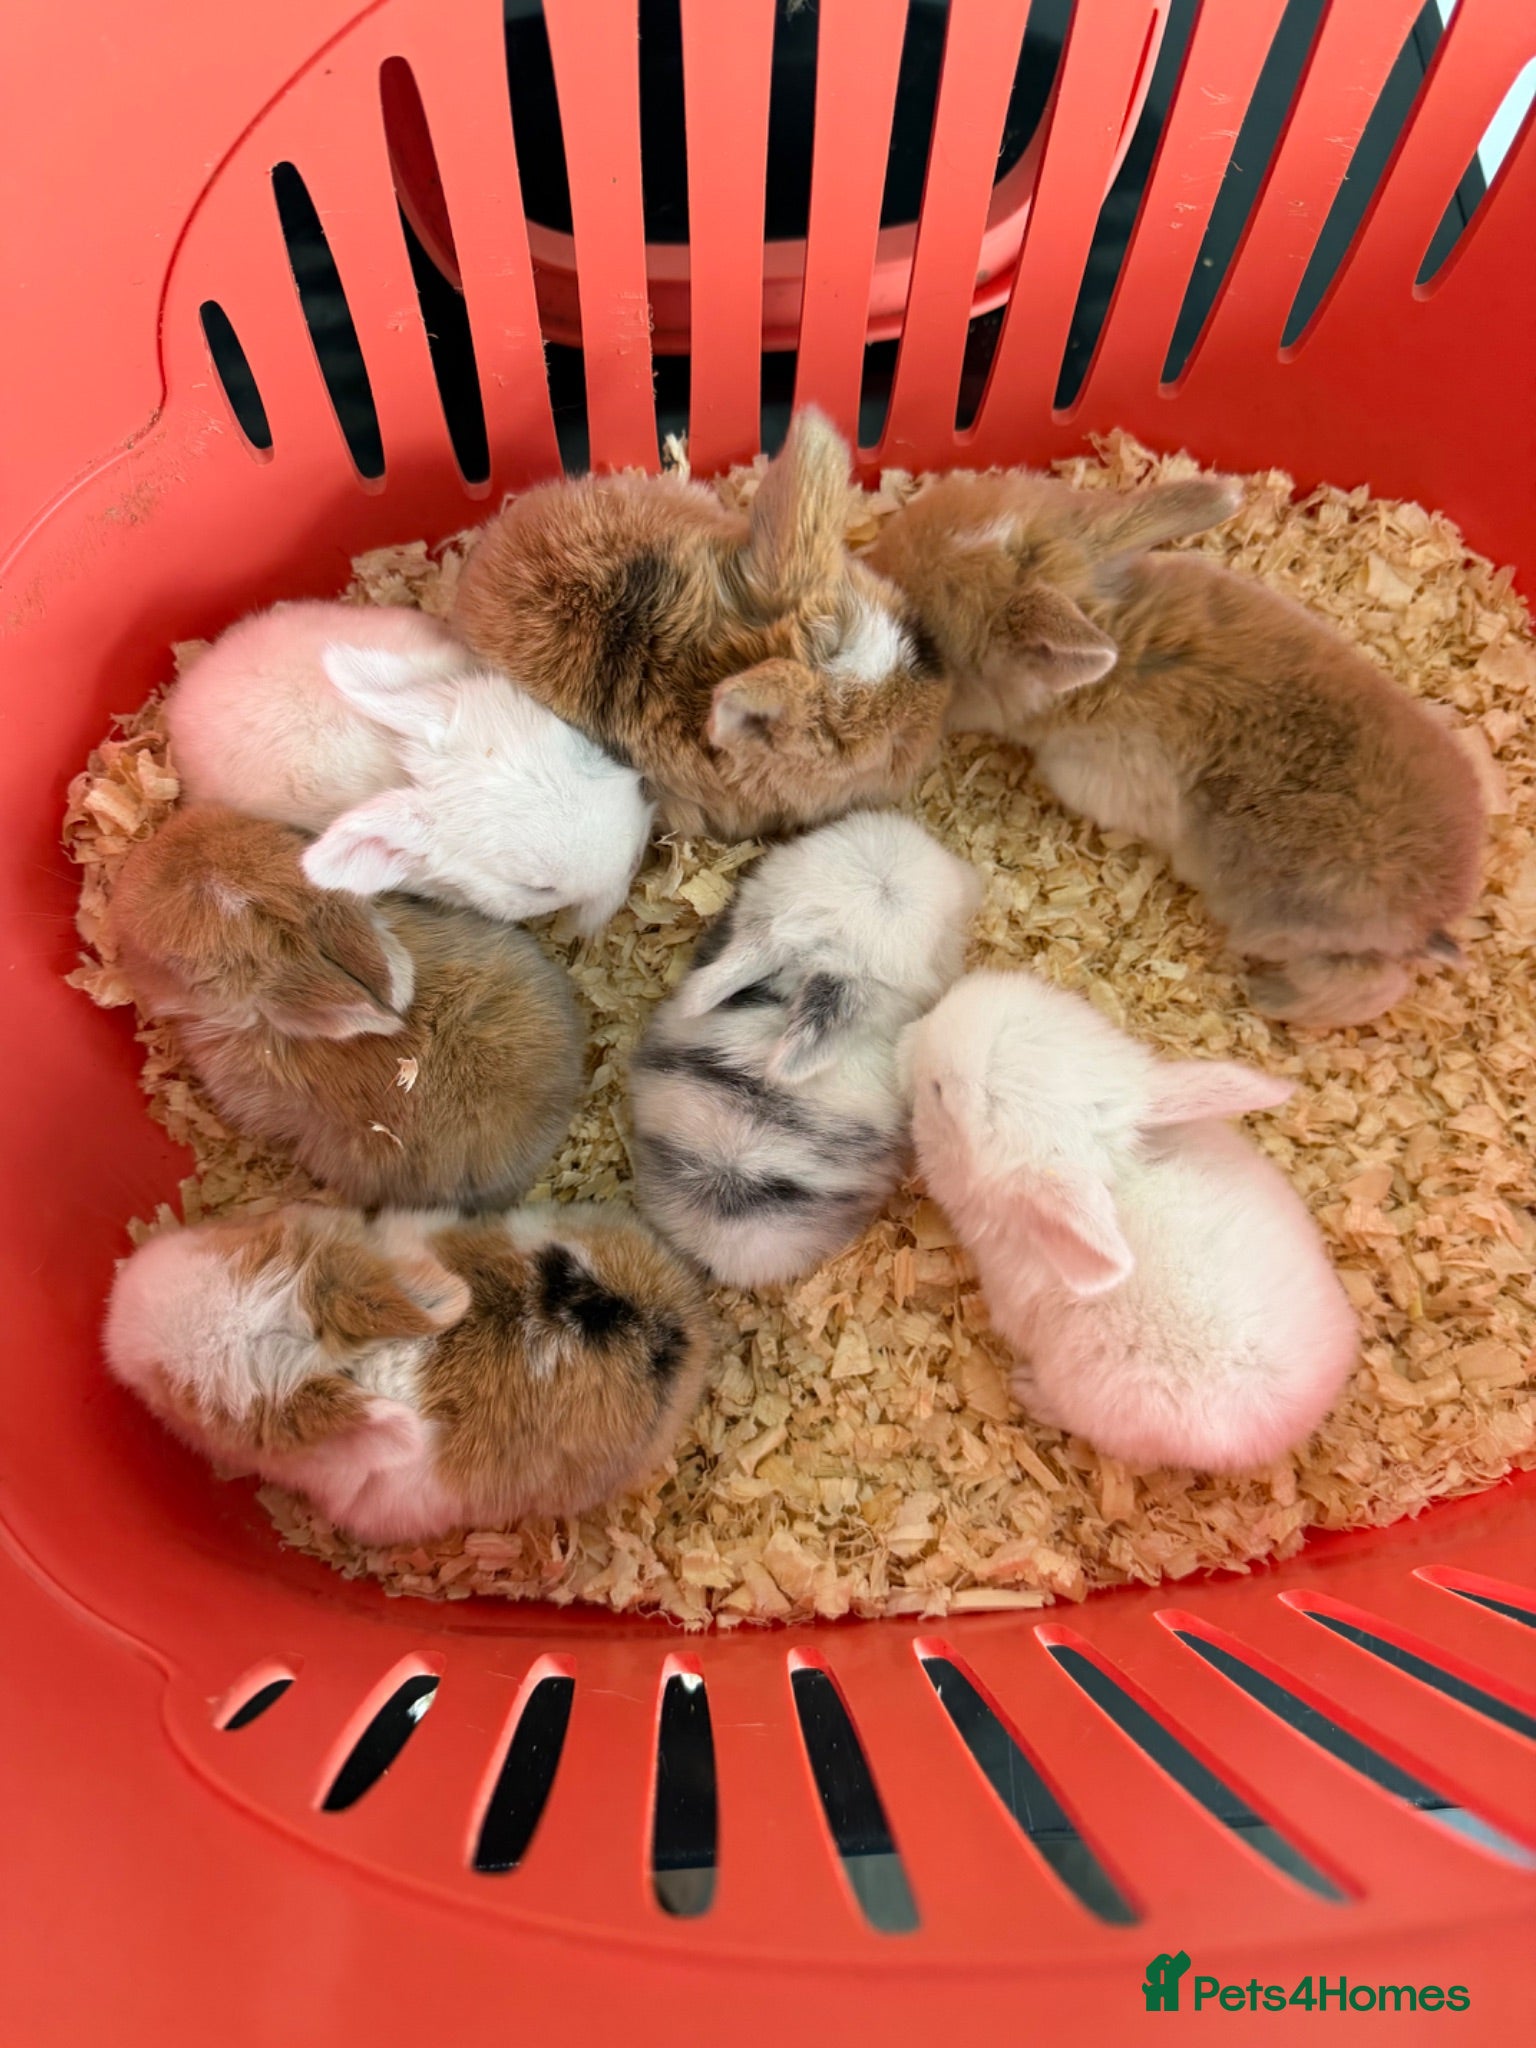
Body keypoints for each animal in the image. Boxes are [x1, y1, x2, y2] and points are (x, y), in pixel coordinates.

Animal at [867, 469, 1485, 1027]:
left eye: (929, 640)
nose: (872, 556)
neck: (1118, 645)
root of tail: (1435, 913)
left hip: (1286, 927)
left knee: (1371, 985)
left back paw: (1272, 1000)